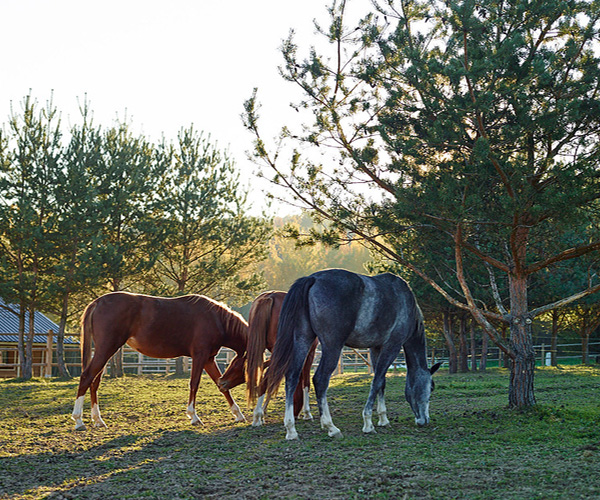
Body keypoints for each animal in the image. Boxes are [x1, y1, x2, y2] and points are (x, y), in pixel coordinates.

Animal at [71, 292, 248, 430]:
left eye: (235, 364)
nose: (225, 381)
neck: (216, 319)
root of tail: (97, 302)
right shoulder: (200, 356)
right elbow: (194, 384)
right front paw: (193, 416)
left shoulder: (209, 359)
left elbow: (220, 386)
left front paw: (238, 414)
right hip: (106, 349)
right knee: (86, 377)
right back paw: (79, 420)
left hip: (105, 352)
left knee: (94, 383)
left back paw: (98, 420)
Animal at [217, 292, 318, 428]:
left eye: (237, 367)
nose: (221, 382)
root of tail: (270, 296)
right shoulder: (309, 353)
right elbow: (305, 382)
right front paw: (307, 413)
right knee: (266, 379)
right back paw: (257, 416)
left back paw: (258, 415)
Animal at [264, 272, 442, 440]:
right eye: (431, 387)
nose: (424, 420)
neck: (405, 302)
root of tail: (313, 278)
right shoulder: (392, 346)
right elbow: (377, 382)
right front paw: (368, 423)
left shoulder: (376, 348)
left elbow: (382, 382)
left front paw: (383, 419)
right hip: (332, 346)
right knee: (320, 379)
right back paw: (331, 427)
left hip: (303, 340)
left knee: (292, 377)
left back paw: (291, 429)